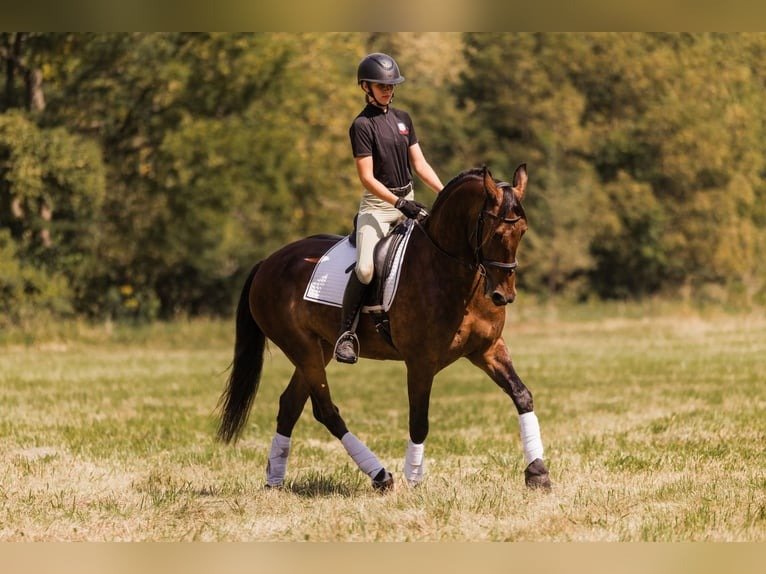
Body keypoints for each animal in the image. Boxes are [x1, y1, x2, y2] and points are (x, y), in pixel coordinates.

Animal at [217, 164, 551, 491]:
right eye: (497, 233)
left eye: (522, 231)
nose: (503, 296)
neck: (450, 270)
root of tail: (268, 262)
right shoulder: (420, 361)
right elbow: (419, 420)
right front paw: (414, 480)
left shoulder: (488, 349)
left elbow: (522, 395)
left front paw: (537, 472)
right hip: (303, 348)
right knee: (325, 410)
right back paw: (380, 476)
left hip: (317, 349)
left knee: (289, 405)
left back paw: (274, 480)